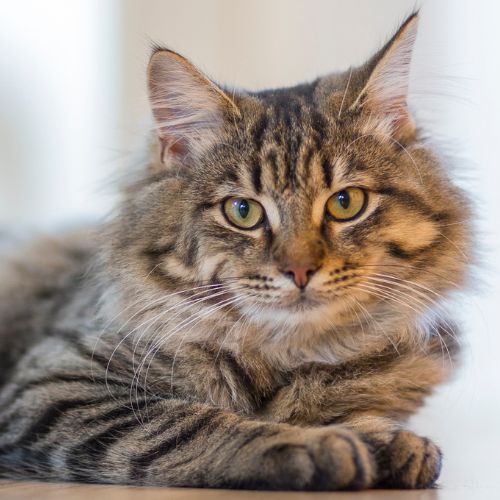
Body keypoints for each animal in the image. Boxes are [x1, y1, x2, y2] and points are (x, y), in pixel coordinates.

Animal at [0, 12, 470, 492]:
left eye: (346, 203)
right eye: (243, 211)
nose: (300, 270)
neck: (290, 355)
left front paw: (388, 439)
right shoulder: (59, 383)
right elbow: (195, 424)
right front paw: (318, 443)